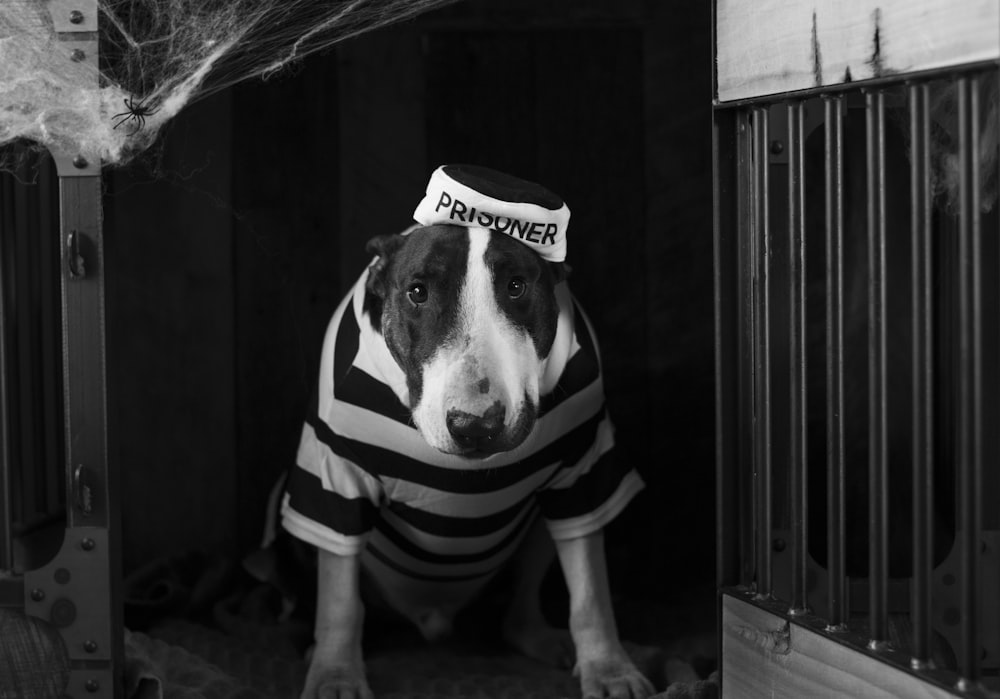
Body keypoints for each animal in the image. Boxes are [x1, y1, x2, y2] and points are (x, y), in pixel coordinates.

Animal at [286, 165, 652, 699]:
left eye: (517, 286)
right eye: (417, 291)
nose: (475, 426)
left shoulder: (582, 470)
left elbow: (589, 588)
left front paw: (609, 668)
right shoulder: (335, 477)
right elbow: (338, 599)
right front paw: (334, 675)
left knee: (519, 607)